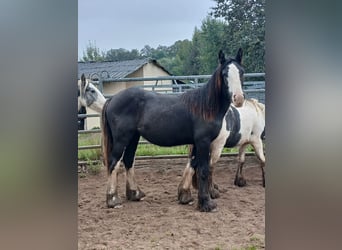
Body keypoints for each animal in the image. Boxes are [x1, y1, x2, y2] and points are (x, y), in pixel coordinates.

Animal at [101, 48, 246, 211]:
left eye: (241, 72)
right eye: (225, 74)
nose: (238, 98)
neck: (205, 107)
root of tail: (112, 99)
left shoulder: (197, 143)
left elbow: (192, 165)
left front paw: (185, 196)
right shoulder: (203, 142)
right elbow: (203, 170)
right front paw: (206, 203)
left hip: (133, 137)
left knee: (128, 160)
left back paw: (135, 193)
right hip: (122, 139)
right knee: (114, 162)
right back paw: (113, 199)